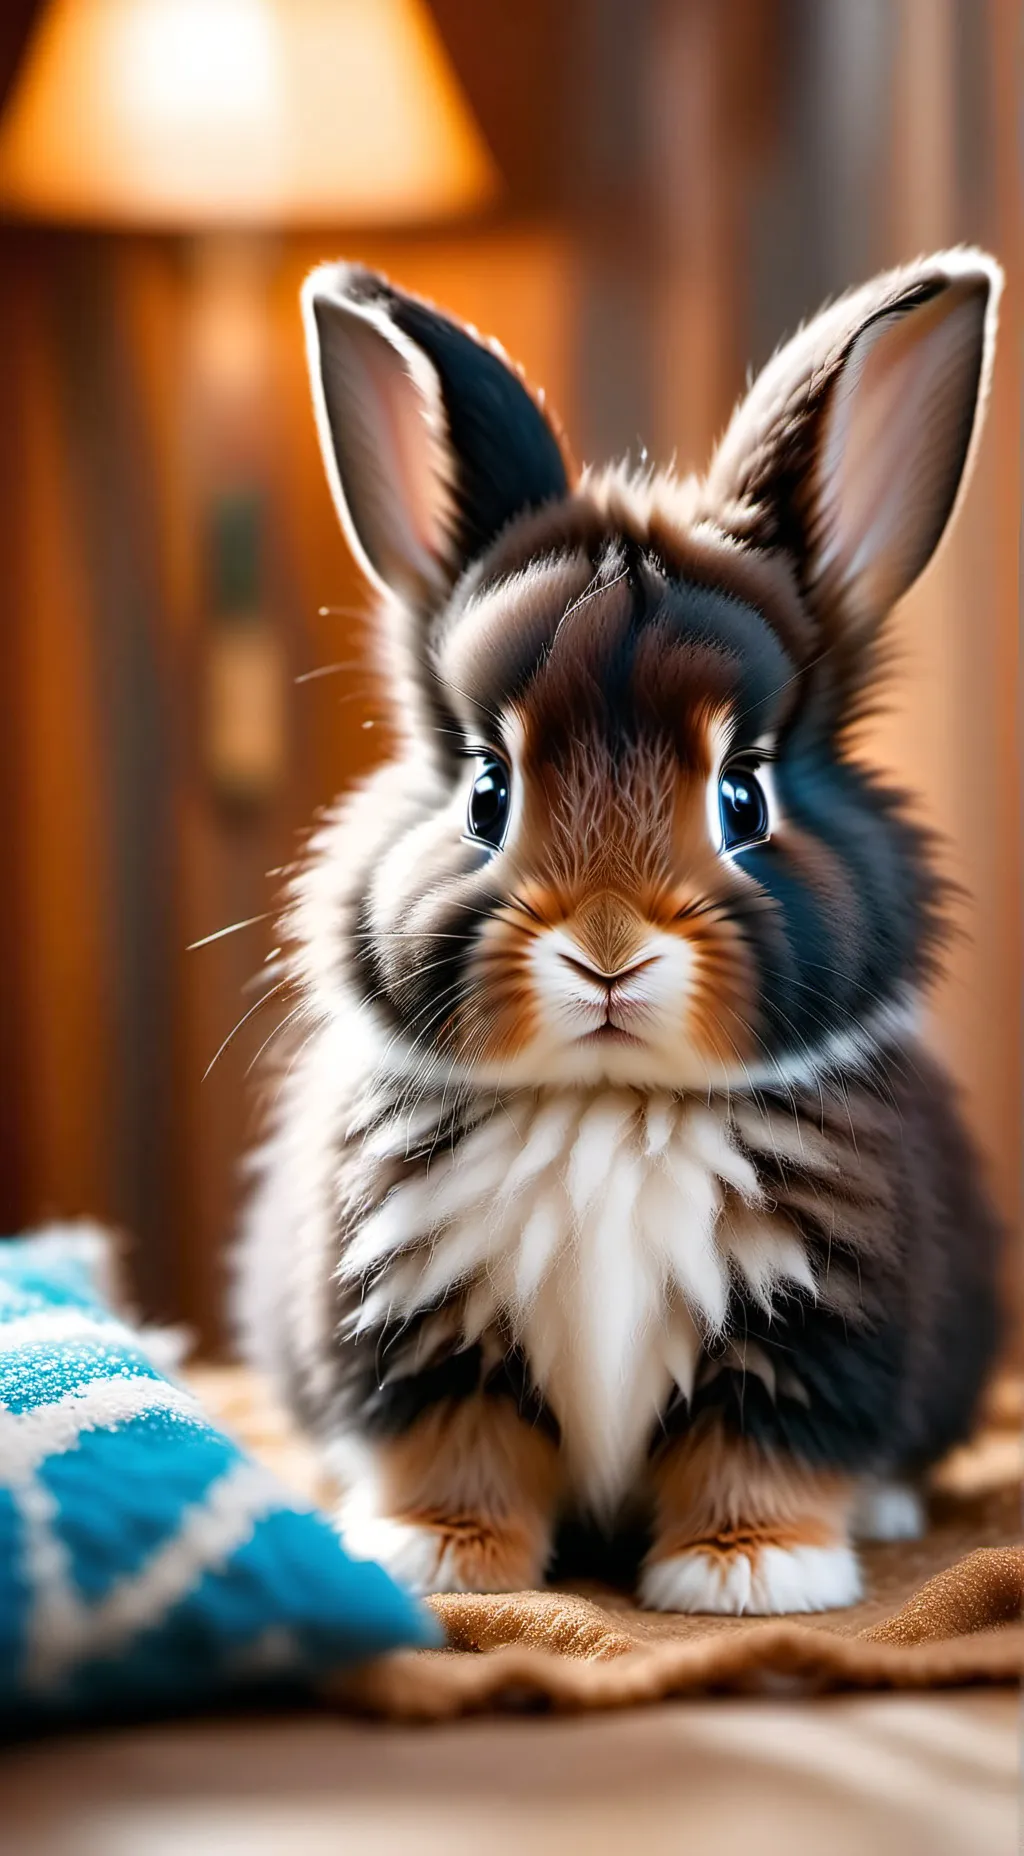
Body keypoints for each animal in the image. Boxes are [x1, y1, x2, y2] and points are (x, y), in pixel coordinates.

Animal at [235, 249, 1005, 1615]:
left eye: (743, 795)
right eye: (486, 790)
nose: (606, 951)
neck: (609, 1102)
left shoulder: (803, 1331)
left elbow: (758, 1454)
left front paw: (749, 1577)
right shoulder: (420, 1327)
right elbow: (458, 1449)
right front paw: (438, 1558)